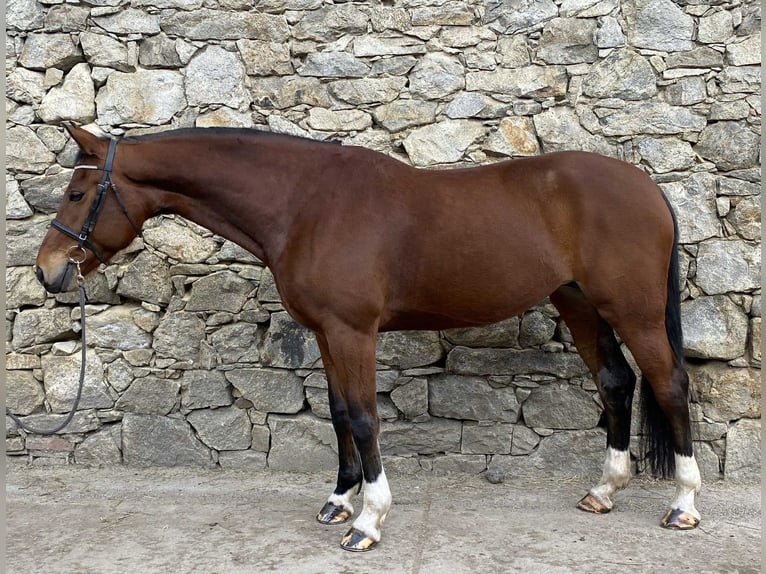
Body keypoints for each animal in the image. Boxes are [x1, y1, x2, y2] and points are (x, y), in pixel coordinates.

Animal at [35, 124, 702, 551]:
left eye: (76, 193)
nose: (48, 271)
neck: (307, 205)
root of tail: (646, 185)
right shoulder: (328, 334)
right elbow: (337, 413)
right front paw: (339, 502)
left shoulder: (353, 332)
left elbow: (363, 418)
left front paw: (368, 522)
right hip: (579, 301)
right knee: (616, 381)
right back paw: (603, 491)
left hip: (634, 312)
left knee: (668, 383)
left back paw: (684, 505)